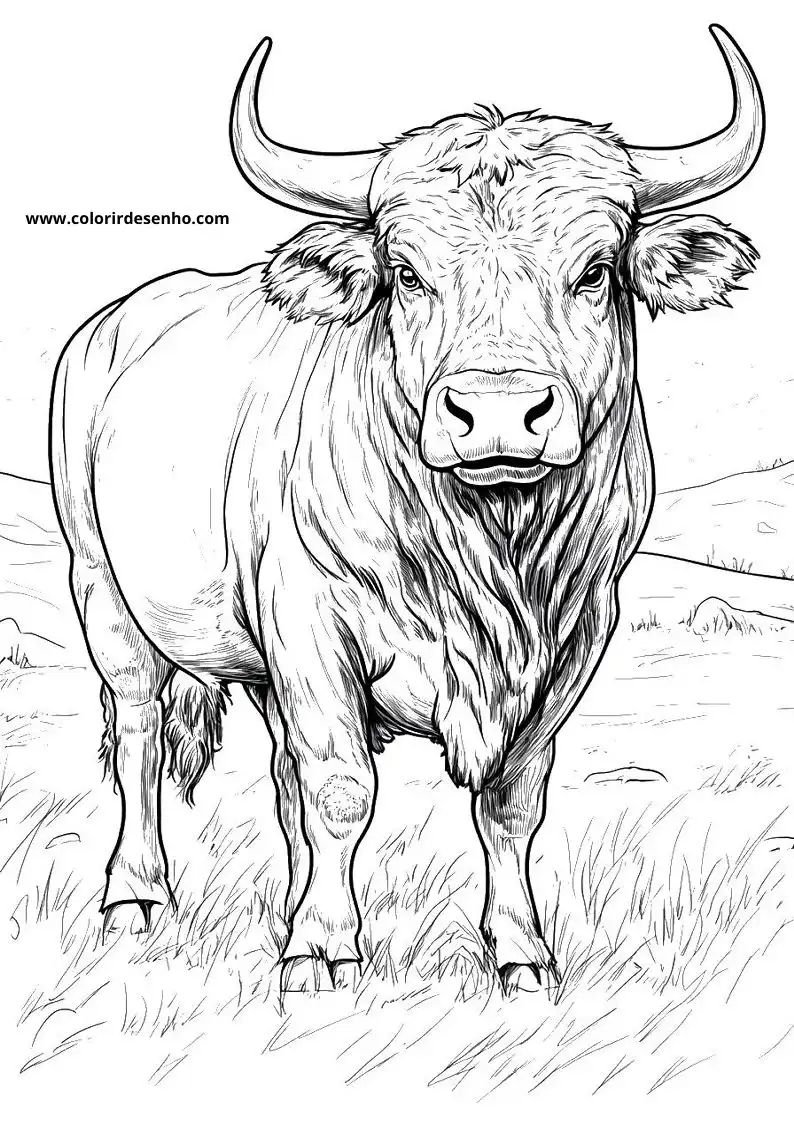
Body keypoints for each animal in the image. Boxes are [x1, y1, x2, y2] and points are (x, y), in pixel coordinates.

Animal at [50, 25, 763, 996]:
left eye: (596, 268)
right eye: (405, 270)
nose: (498, 411)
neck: (489, 555)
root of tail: (115, 322)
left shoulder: (576, 635)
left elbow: (510, 800)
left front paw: (520, 953)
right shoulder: (310, 624)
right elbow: (342, 786)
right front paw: (320, 951)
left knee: (280, 776)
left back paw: (289, 901)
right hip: (105, 595)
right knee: (140, 736)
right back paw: (137, 896)